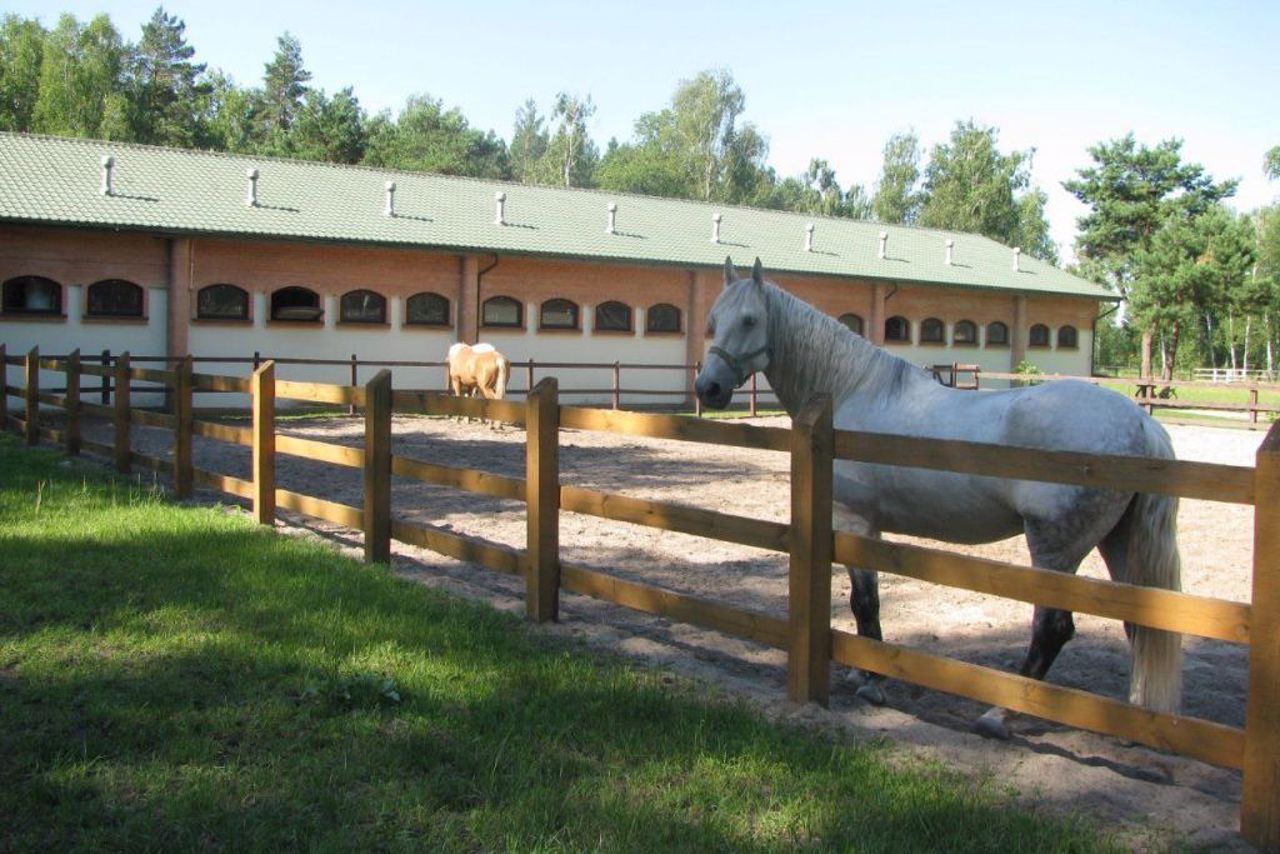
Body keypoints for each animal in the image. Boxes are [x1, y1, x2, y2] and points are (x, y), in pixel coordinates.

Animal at [696, 257, 1182, 737]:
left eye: (749, 320)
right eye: (713, 321)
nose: (707, 389)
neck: (853, 392)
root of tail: (1142, 424)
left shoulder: (856, 521)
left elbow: (865, 602)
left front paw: (873, 683)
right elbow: (860, 604)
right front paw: (860, 671)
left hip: (1055, 550)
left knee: (1053, 629)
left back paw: (1000, 715)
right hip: (1117, 542)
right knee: (1138, 621)